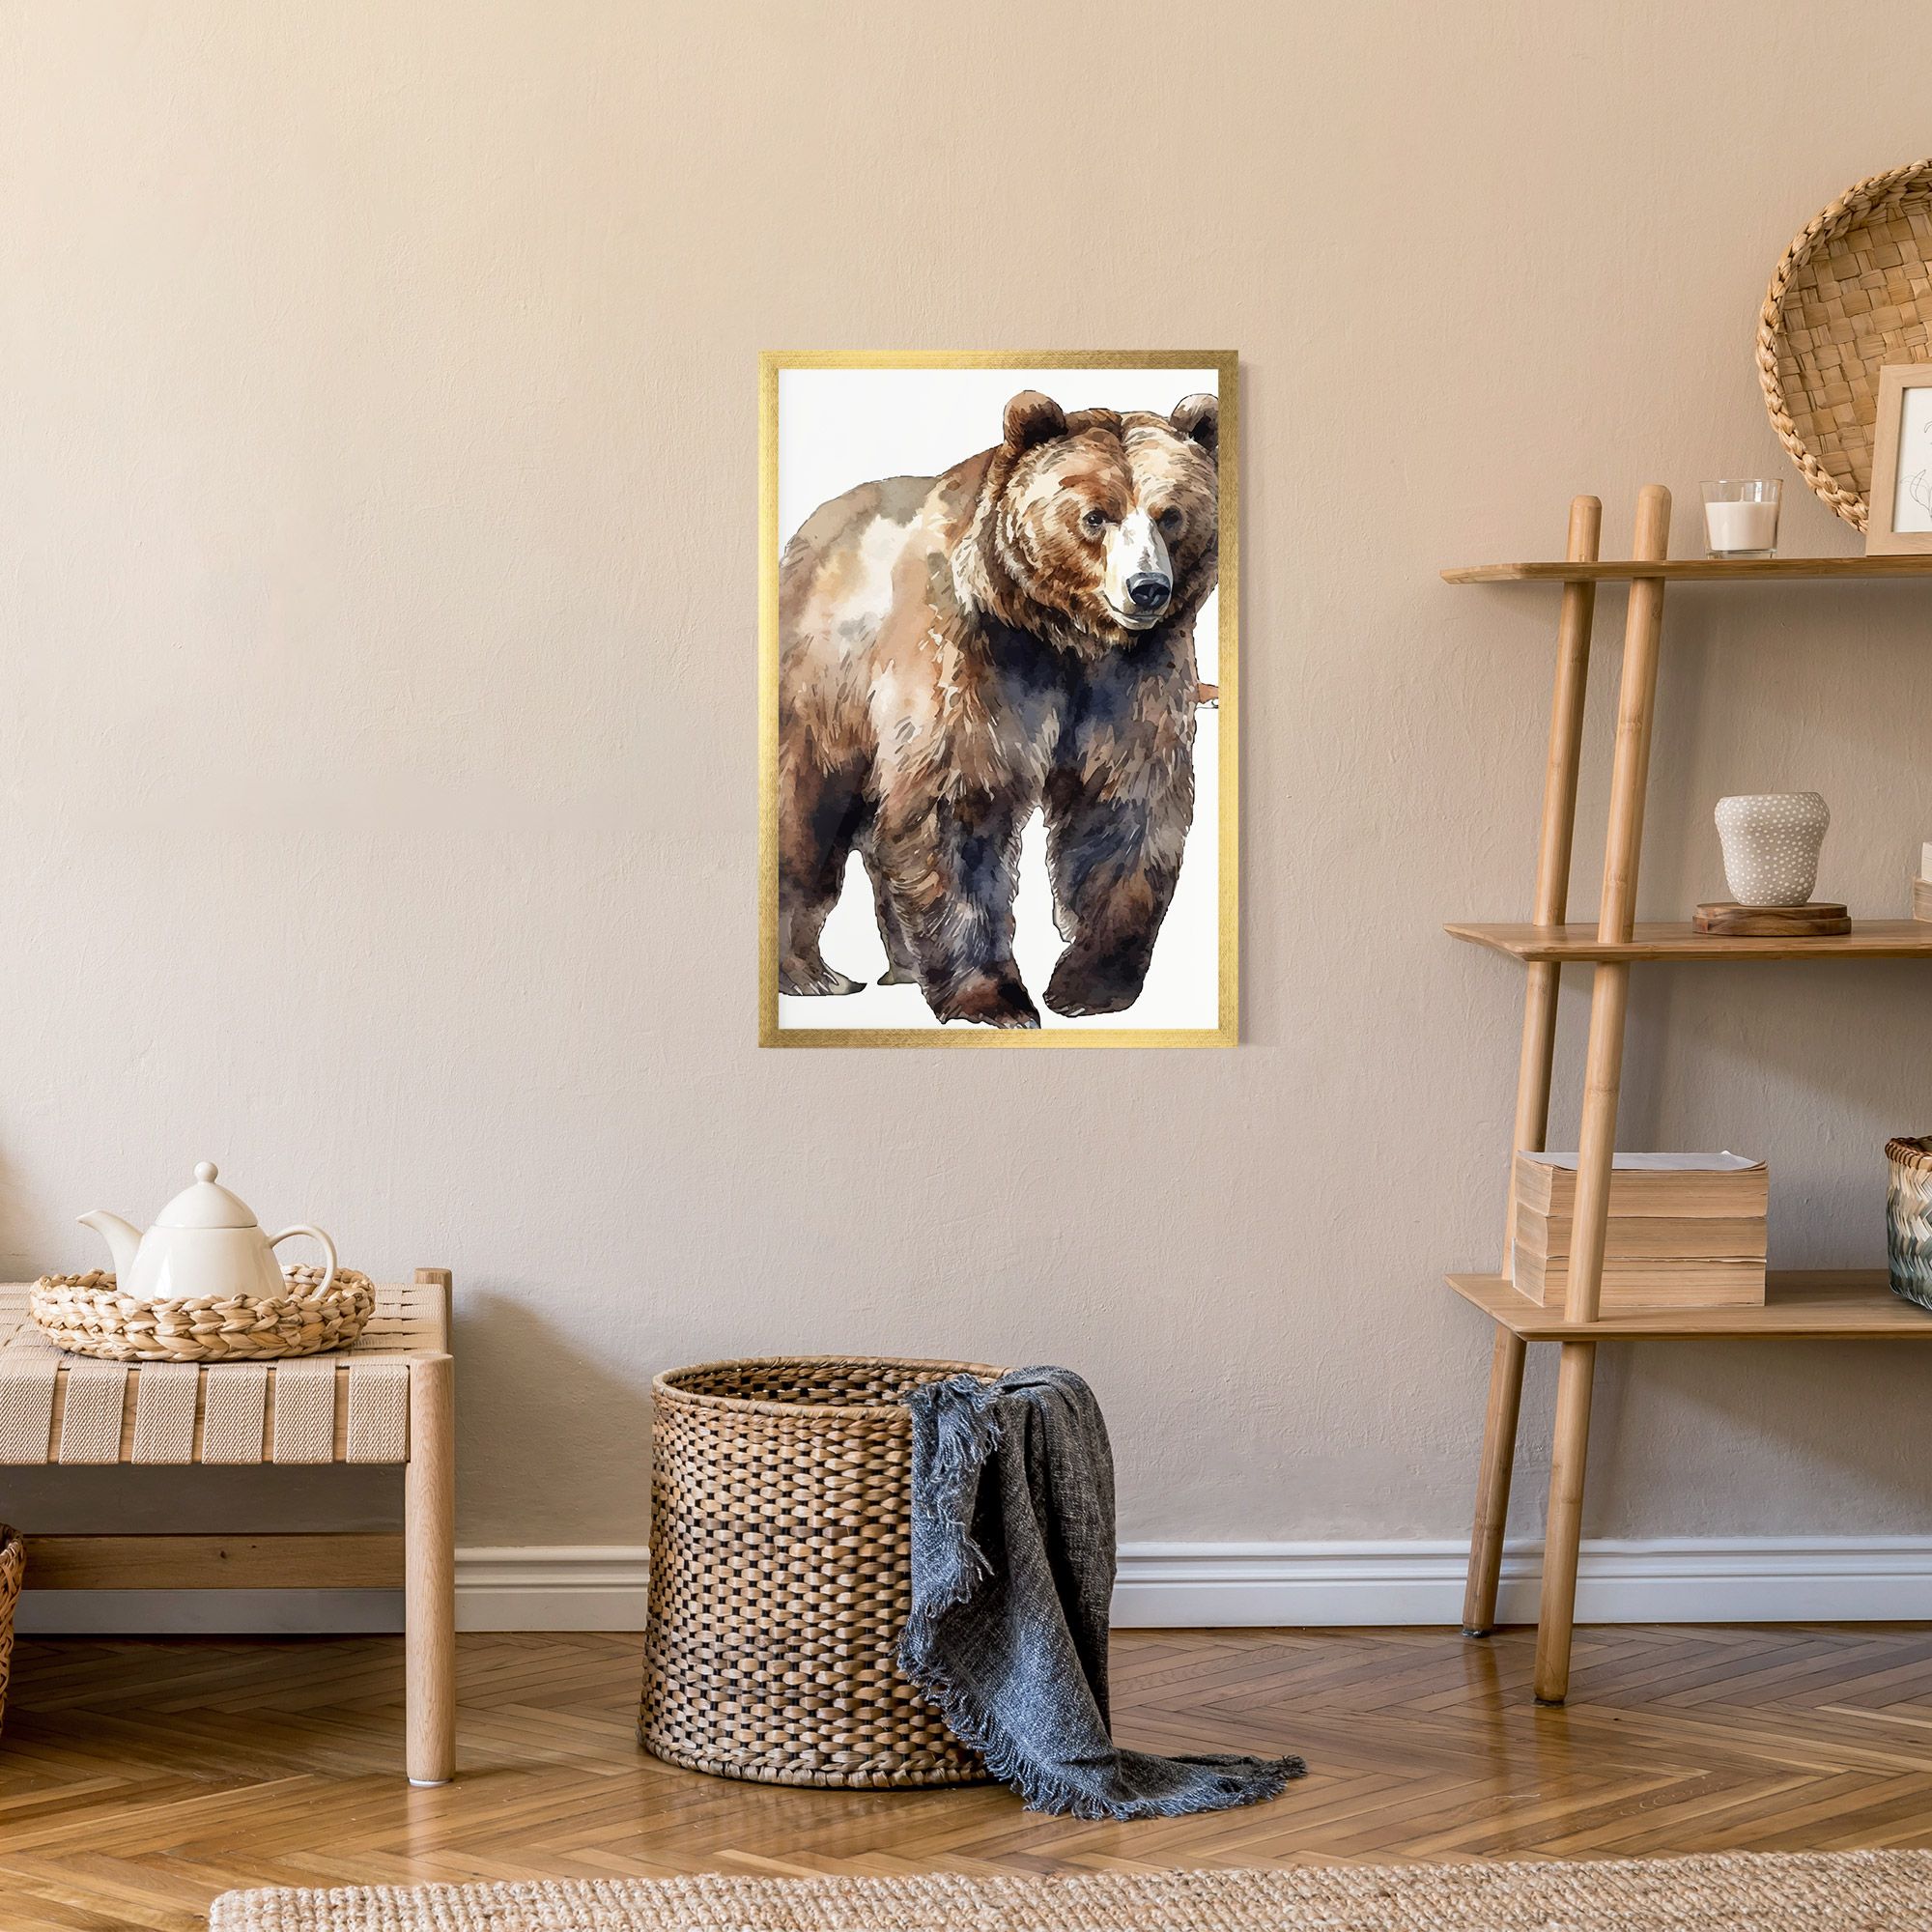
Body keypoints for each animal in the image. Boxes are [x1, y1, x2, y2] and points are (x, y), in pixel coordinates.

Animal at [776, 389, 1219, 1029]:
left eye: (1170, 514)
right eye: (1096, 515)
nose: (1147, 588)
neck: (1067, 635)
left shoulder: (1133, 678)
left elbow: (1122, 807)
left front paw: (1088, 986)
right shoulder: (976, 656)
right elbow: (960, 806)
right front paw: (995, 1000)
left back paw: (904, 966)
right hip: (825, 688)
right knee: (808, 811)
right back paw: (812, 974)